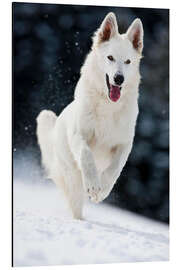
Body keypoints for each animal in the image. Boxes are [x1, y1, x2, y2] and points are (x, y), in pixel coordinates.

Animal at [36, 12, 143, 219]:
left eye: (128, 62)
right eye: (110, 58)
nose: (119, 79)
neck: (108, 105)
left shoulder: (124, 144)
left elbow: (115, 168)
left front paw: (102, 190)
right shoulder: (79, 135)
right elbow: (86, 155)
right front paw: (93, 186)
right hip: (72, 177)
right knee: (76, 204)